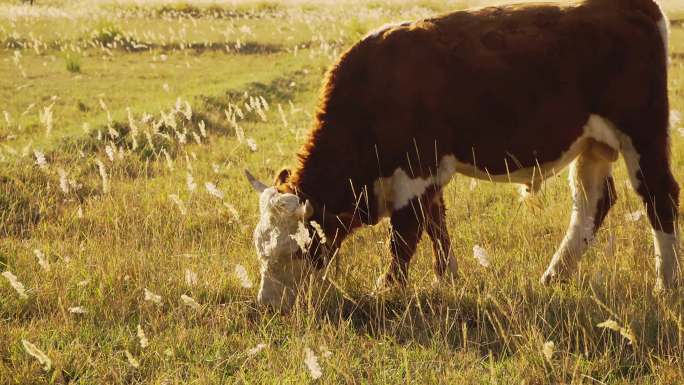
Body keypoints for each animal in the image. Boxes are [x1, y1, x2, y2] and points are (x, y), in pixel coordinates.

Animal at [246, 0, 680, 308]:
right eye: (259, 247)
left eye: (294, 249)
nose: (268, 304)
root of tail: (631, 6)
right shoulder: (430, 173)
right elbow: (437, 224)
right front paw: (447, 276)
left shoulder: (415, 168)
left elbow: (404, 236)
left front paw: (387, 289)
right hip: (593, 146)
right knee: (592, 204)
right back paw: (555, 275)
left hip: (643, 133)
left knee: (660, 197)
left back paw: (666, 284)